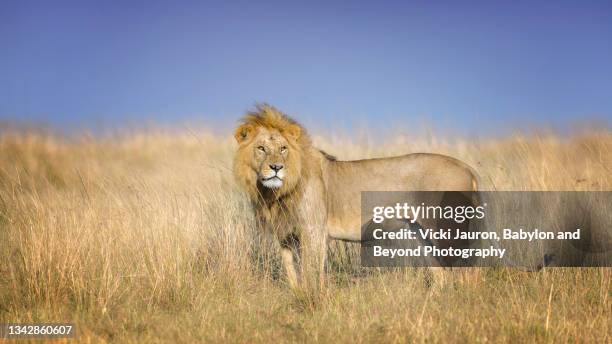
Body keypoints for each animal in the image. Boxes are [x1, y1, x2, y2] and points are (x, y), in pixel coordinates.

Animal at [234, 103, 482, 288]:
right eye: (261, 148)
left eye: (283, 148)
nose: (276, 167)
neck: (273, 193)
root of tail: (467, 167)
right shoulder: (284, 234)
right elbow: (291, 272)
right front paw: (298, 295)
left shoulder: (313, 230)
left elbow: (311, 271)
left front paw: (313, 299)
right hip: (422, 235)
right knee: (442, 276)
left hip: (448, 230)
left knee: (468, 269)